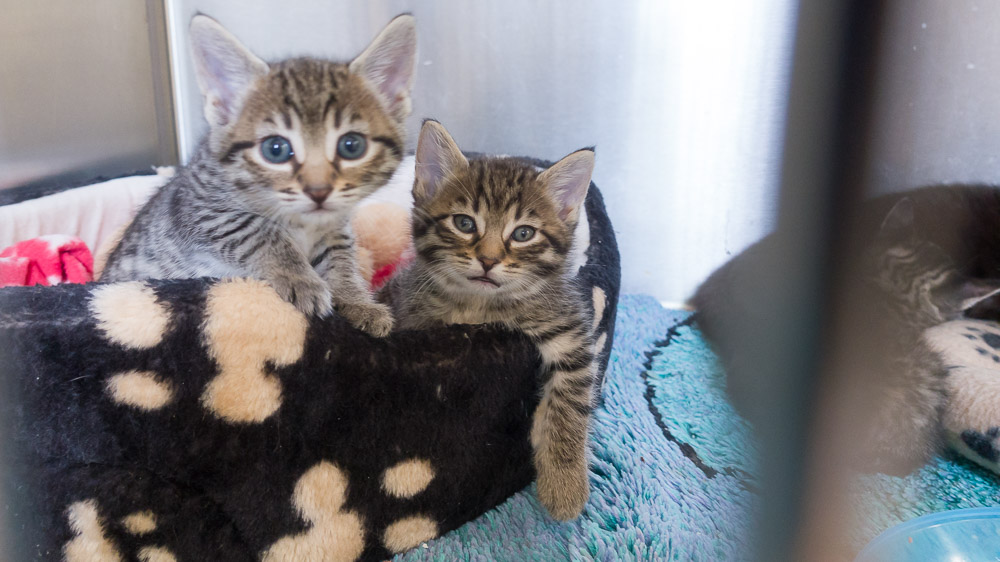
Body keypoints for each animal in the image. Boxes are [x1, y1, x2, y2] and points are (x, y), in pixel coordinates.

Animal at [100, 15, 414, 334]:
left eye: (352, 146)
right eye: (276, 149)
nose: (319, 191)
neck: (304, 223)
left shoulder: (336, 227)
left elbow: (341, 258)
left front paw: (357, 300)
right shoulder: (201, 210)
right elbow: (260, 231)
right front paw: (302, 280)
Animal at [382, 120, 596, 520]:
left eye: (524, 233)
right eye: (464, 223)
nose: (488, 259)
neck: (480, 305)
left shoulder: (567, 325)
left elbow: (571, 399)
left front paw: (565, 484)